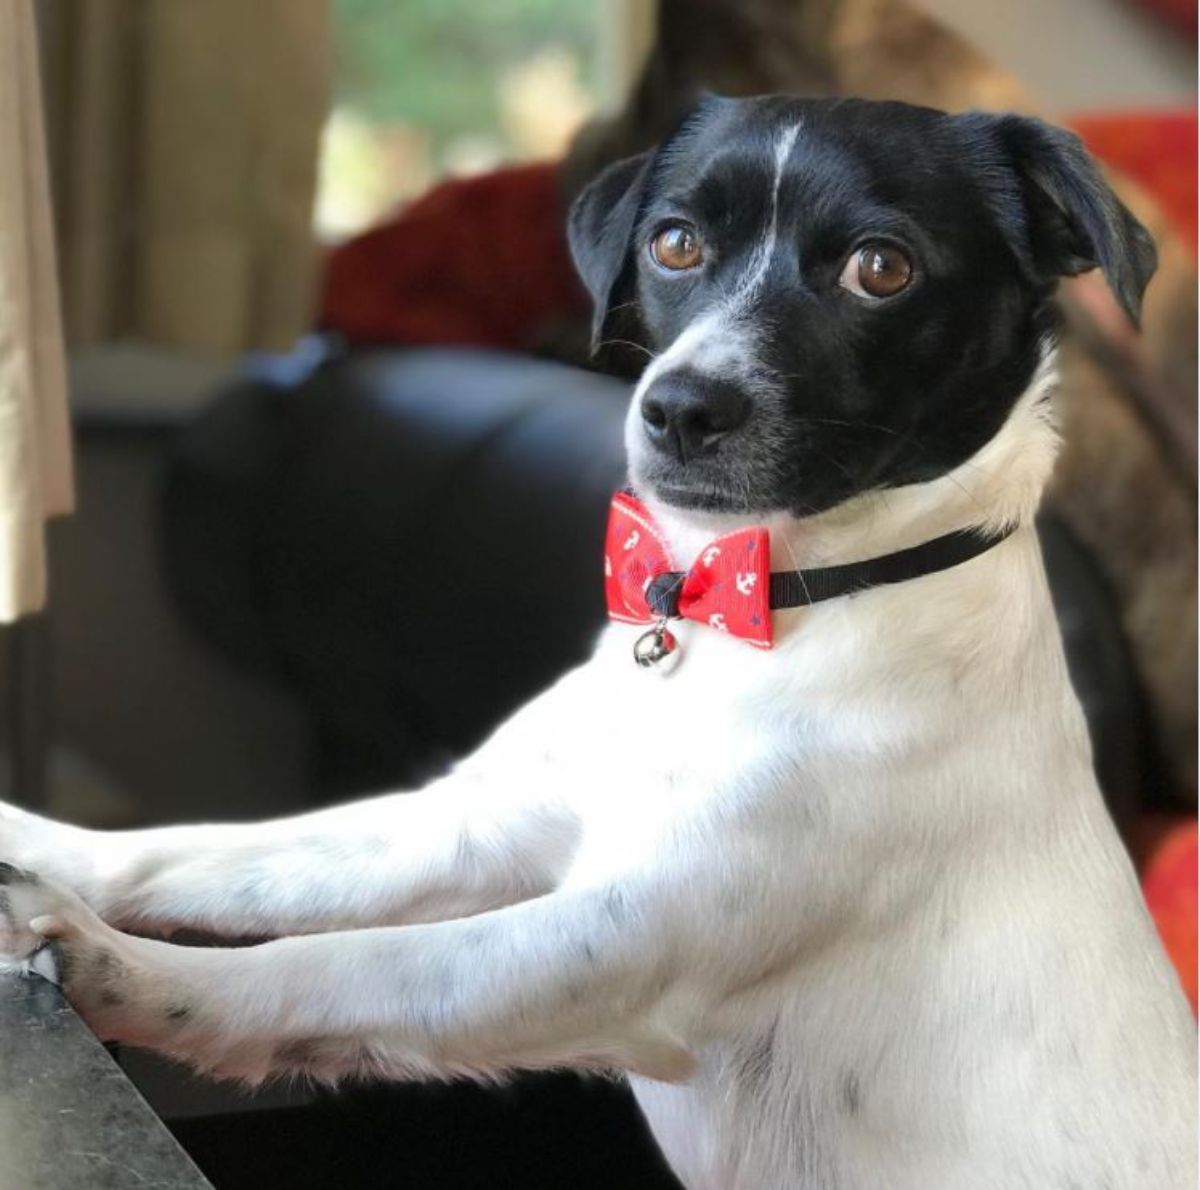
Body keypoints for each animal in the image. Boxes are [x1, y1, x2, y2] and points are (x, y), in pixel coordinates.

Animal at [0, 97, 1195, 1185]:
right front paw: (40, 843)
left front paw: (116, 969)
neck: (743, 616)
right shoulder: (464, 831)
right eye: (675, 243)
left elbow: (339, 967)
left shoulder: (619, 941)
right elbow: (214, 852)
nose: (679, 409)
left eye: (881, 268)